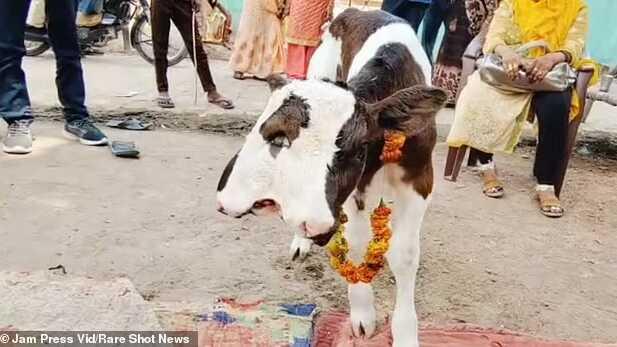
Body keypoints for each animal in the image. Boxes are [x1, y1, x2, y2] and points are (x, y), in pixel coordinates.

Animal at [217, 8, 442, 347]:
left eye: (355, 149)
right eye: (274, 136)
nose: (313, 221)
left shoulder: (420, 178)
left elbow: (404, 254)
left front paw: (405, 332)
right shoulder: (354, 190)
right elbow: (356, 242)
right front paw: (362, 312)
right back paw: (301, 242)